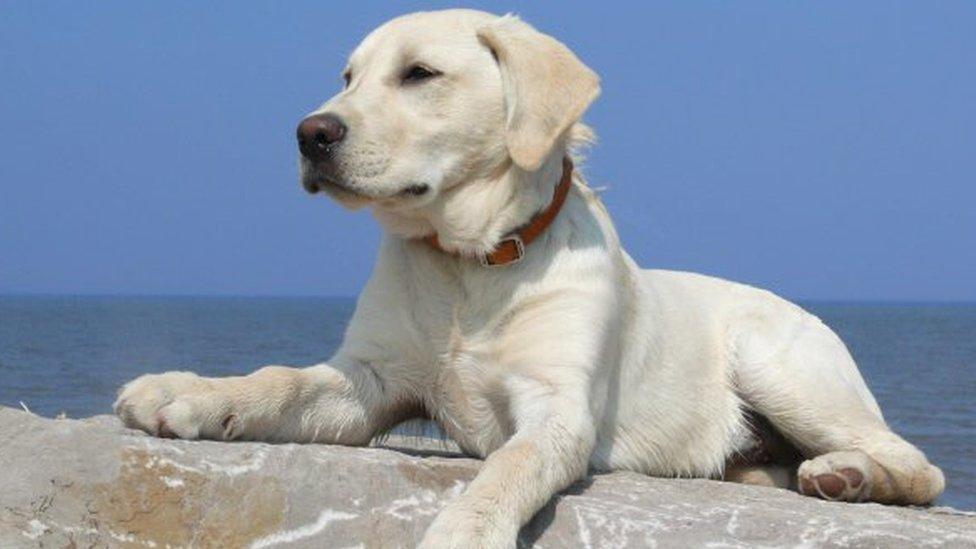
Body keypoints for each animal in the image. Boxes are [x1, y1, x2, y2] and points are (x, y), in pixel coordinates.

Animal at [114, 9, 944, 548]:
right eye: (348, 76)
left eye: (419, 74)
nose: (309, 134)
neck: (466, 267)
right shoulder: (369, 382)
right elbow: (278, 379)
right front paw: (189, 392)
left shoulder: (557, 410)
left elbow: (504, 469)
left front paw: (462, 531)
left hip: (779, 367)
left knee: (919, 465)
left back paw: (848, 475)